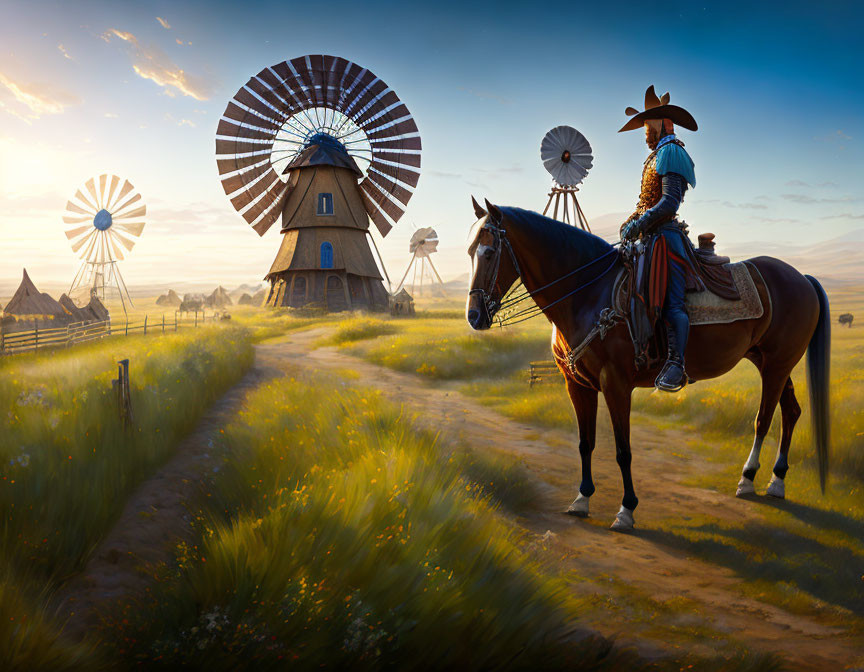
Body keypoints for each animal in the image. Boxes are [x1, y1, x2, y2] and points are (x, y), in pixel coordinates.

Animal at [466, 200, 832, 532]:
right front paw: (581, 499)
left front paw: (626, 510)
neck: (588, 294)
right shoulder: (578, 384)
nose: (474, 316)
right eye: (470, 252)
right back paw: (777, 482)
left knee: (764, 419)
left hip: (777, 364)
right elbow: (586, 443)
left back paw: (748, 479)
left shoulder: (615, 384)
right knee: (791, 411)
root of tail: (801, 277)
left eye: (489, 253)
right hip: (772, 363)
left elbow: (622, 450)